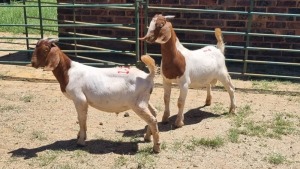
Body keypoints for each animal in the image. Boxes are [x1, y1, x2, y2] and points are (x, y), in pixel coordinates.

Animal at [30, 38, 162, 153]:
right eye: (36, 47)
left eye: (46, 49)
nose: (33, 63)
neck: (68, 72)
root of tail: (148, 76)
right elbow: (80, 118)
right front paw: (79, 135)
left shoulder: (80, 99)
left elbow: (81, 118)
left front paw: (81, 141)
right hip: (144, 99)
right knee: (154, 112)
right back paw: (147, 137)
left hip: (137, 103)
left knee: (152, 119)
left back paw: (156, 148)